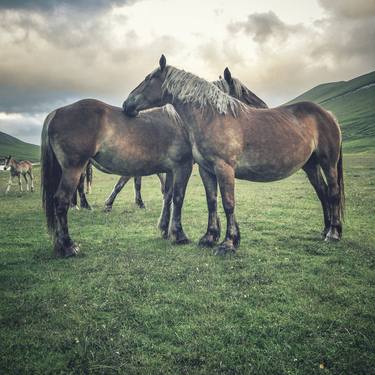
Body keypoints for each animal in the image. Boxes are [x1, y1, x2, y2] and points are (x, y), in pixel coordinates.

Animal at [41, 100, 194, 258]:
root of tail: (56, 112)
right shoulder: (182, 166)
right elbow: (177, 198)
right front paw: (179, 235)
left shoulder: (170, 170)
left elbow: (167, 196)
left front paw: (164, 229)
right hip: (74, 168)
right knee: (62, 199)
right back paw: (68, 245)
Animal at [124, 55, 346, 256]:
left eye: (147, 79)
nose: (126, 105)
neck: (212, 117)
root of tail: (328, 114)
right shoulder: (206, 170)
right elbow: (212, 202)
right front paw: (209, 237)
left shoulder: (224, 168)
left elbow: (228, 203)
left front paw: (228, 243)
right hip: (311, 166)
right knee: (322, 192)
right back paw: (325, 229)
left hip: (328, 163)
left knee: (333, 192)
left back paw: (333, 233)